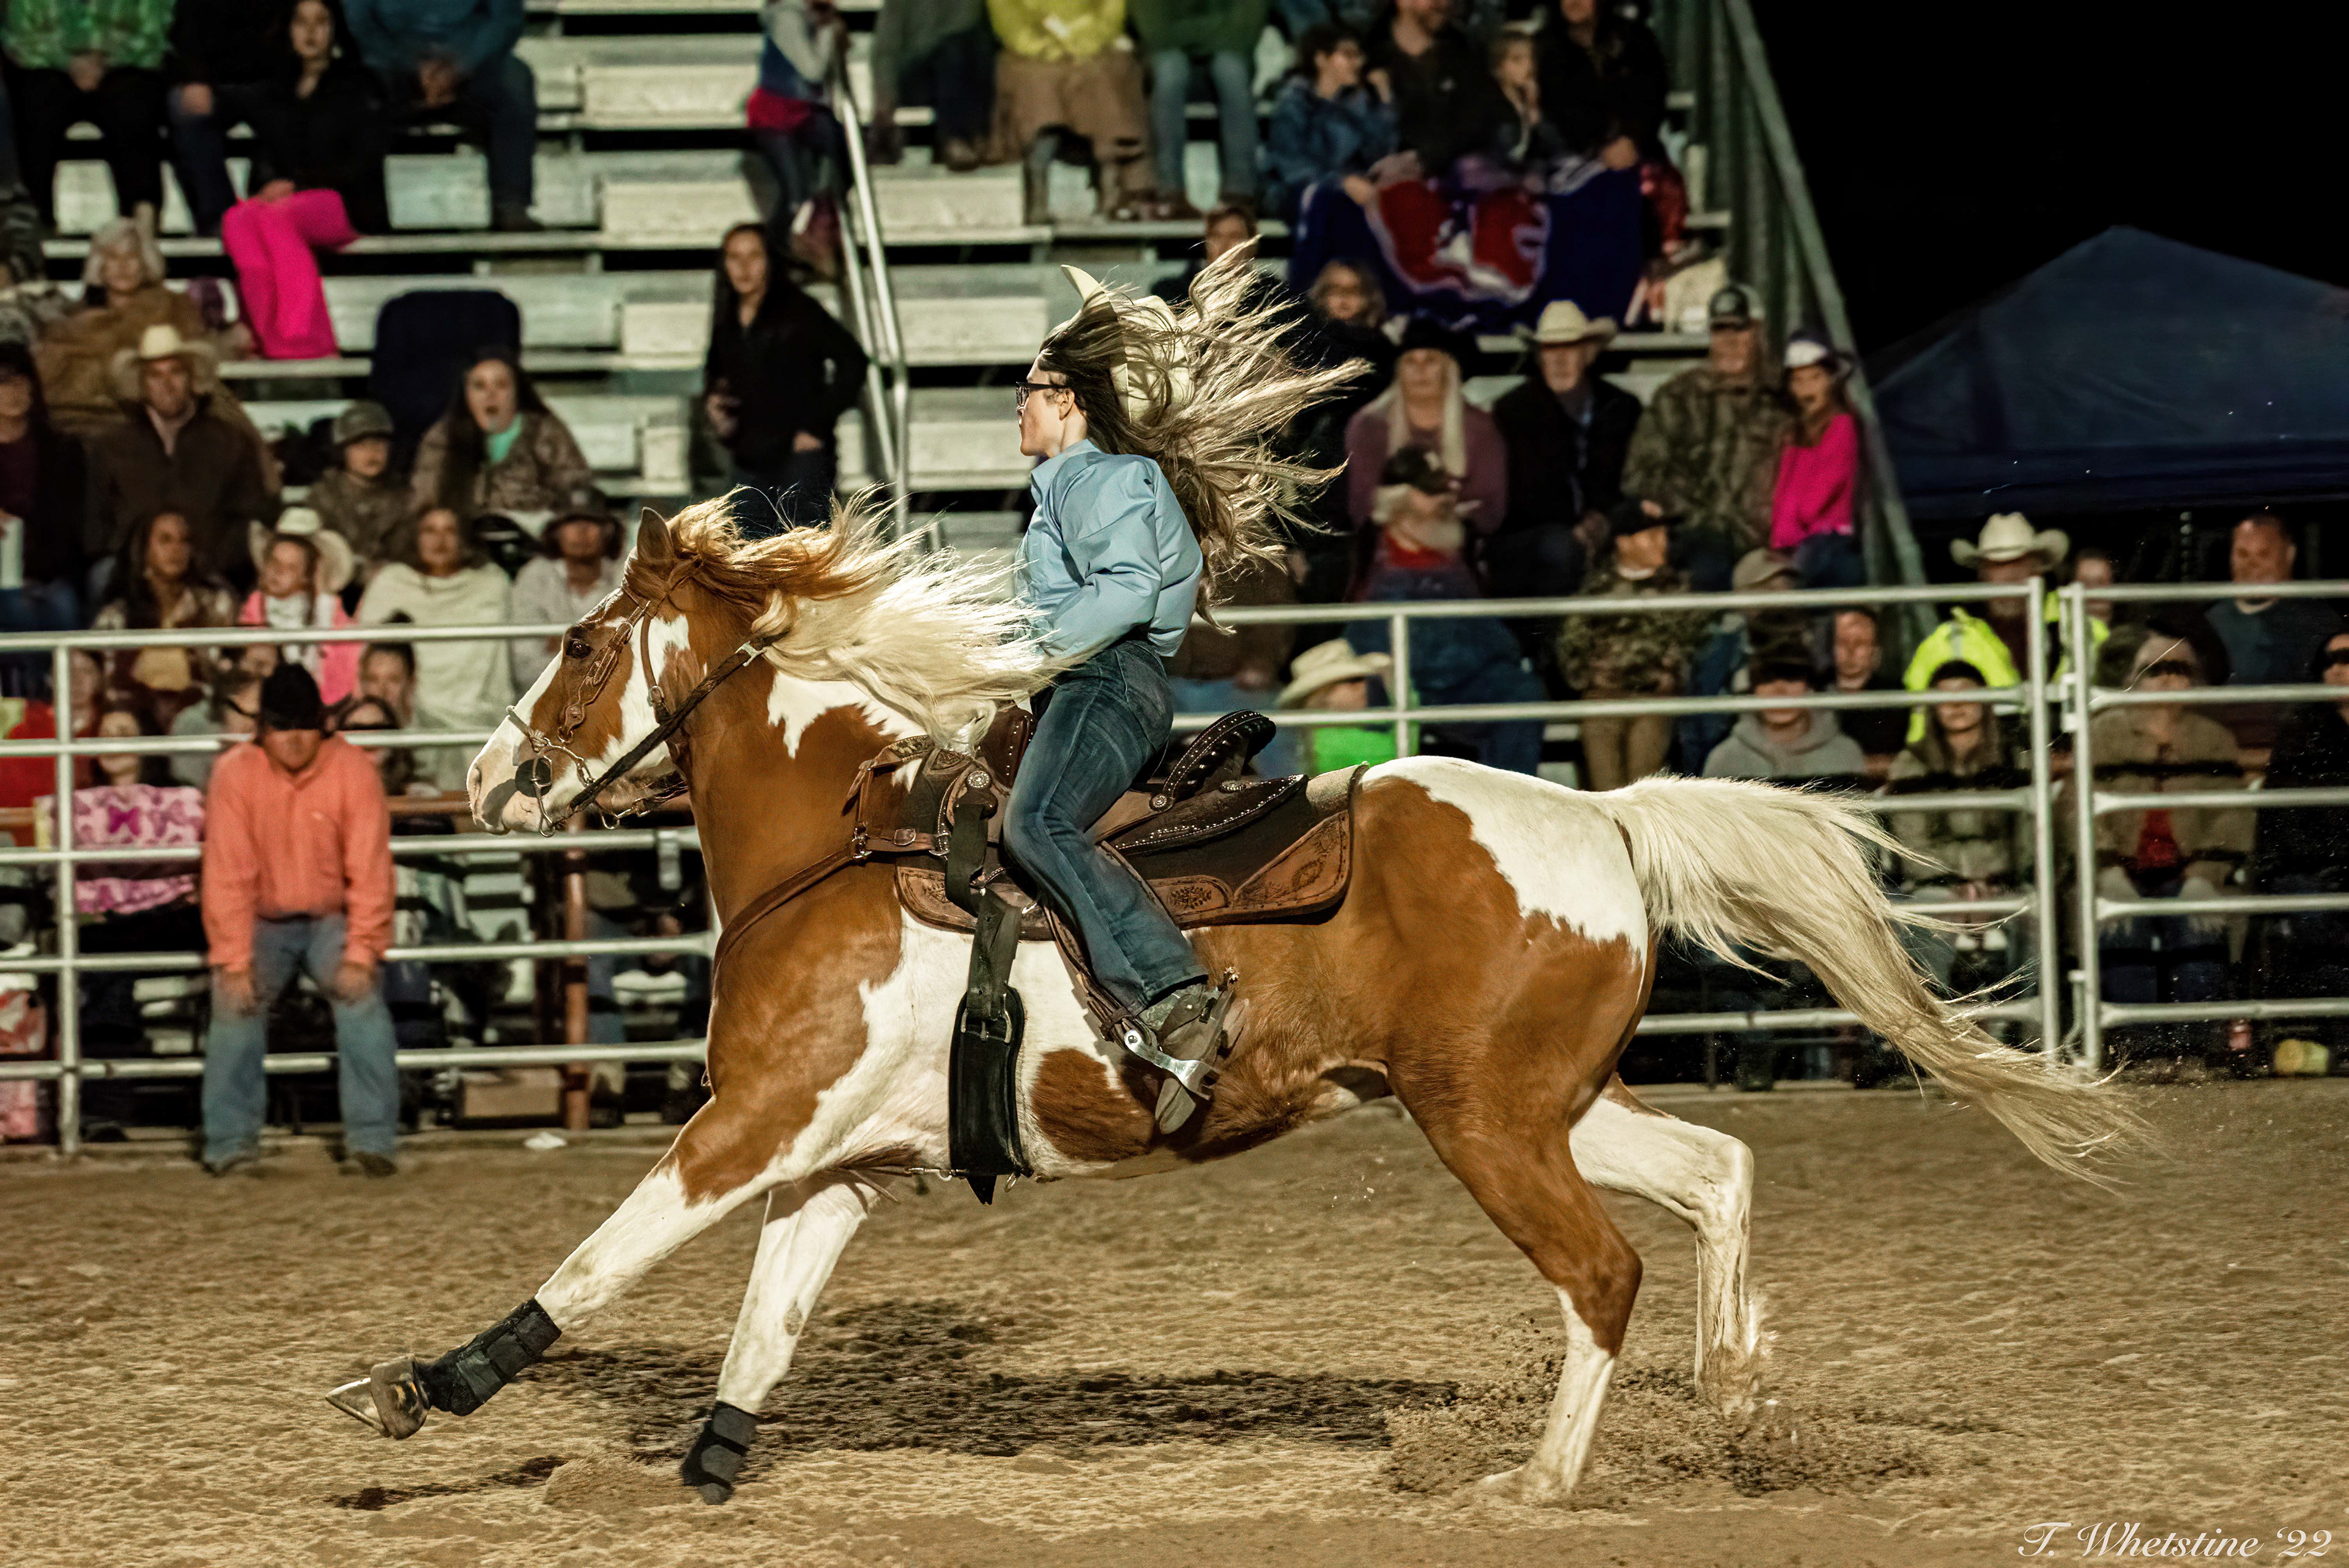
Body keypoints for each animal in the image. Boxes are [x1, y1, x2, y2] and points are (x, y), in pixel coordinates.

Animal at [335, 498, 2134, 1507]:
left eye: (582, 645)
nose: (484, 779)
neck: (834, 844)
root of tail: (1608, 822)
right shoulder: (832, 1162)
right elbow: (763, 1333)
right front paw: (695, 1480)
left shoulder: (750, 1121)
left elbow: (598, 1260)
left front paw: (414, 1391)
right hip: (1541, 1101)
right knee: (1716, 1174)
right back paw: (1740, 1390)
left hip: (1488, 1126)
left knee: (1602, 1270)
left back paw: (1540, 1482)